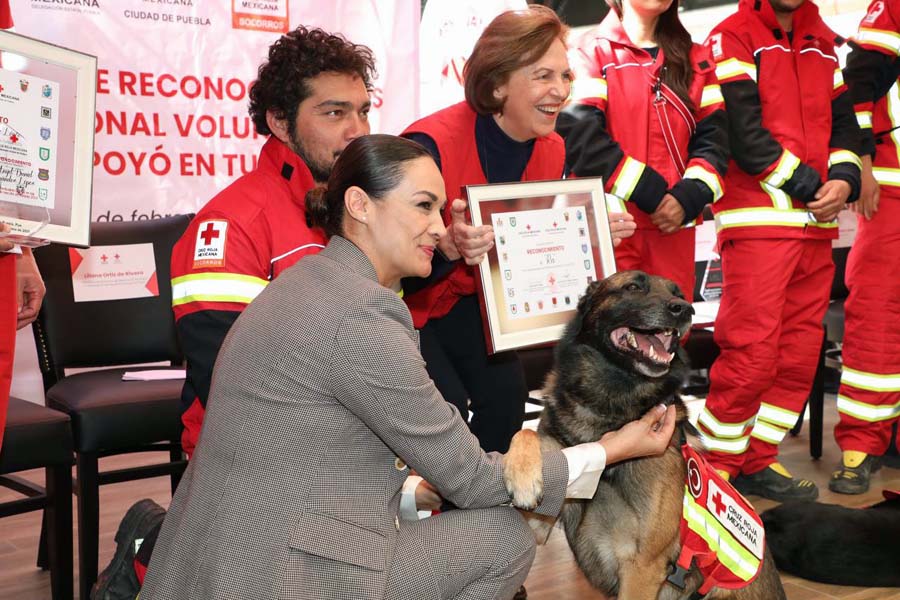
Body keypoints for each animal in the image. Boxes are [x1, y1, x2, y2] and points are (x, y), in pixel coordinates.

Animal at [506, 274, 788, 600]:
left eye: (679, 294)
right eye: (632, 287)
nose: (684, 310)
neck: (609, 409)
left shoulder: (642, 569)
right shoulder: (538, 527)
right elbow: (526, 431)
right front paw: (522, 476)